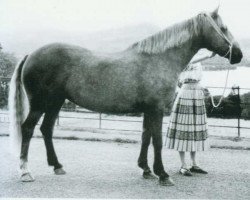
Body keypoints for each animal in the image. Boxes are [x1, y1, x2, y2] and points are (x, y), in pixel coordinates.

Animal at [9, 7, 242, 186]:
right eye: (223, 28)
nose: (239, 54)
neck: (159, 59)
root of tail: (31, 54)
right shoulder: (156, 109)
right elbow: (157, 141)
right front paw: (163, 175)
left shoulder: (148, 110)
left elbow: (146, 137)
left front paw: (146, 170)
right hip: (40, 103)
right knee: (28, 129)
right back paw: (25, 172)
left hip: (55, 102)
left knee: (46, 129)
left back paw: (57, 166)